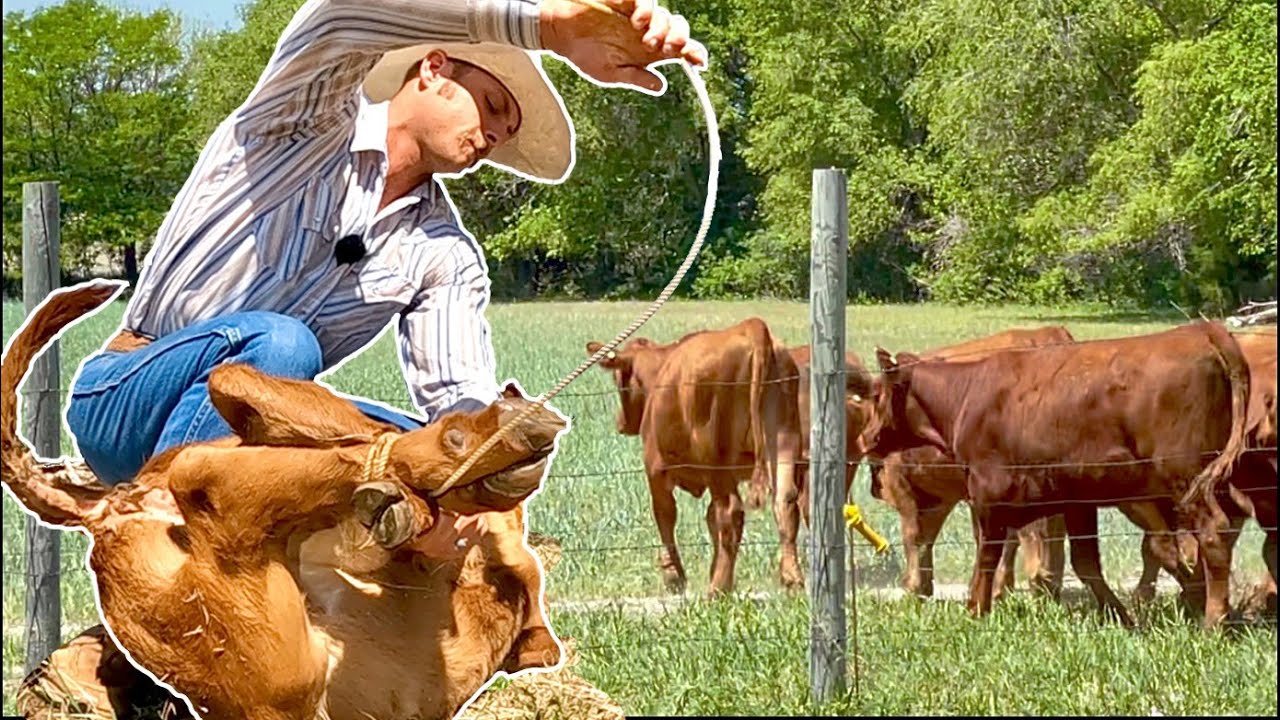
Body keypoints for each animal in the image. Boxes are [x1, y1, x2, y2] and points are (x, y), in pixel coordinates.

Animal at [586, 317, 804, 596]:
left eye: (618, 379)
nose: (621, 423)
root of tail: (750, 327)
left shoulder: (655, 470)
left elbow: (665, 516)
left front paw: (674, 575)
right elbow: (711, 521)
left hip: (718, 460)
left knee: (731, 512)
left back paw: (717, 589)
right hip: (783, 443)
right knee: (784, 502)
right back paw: (791, 579)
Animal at [860, 321, 1250, 628]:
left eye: (877, 395)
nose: (865, 438)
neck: (967, 395)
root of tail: (1201, 330)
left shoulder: (988, 494)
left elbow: (987, 556)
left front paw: (976, 609)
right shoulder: (1075, 500)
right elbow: (1086, 562)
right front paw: (1120, 616)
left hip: (1185, 478)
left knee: (1213, 533)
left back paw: (1214, 620)